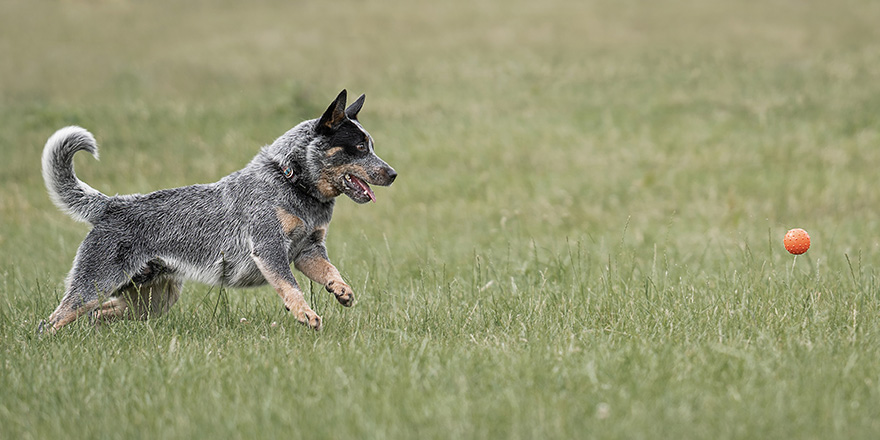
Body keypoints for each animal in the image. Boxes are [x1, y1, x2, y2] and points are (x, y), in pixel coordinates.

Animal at [39, 91, 398, 332]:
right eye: (360, 147)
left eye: (372, 146)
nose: (393, 174)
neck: (293, 181)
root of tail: (111, 204)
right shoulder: (269, 248)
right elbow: (290, 285)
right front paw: (305, 314)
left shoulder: (309, 250)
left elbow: (329, 270)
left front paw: (342, 290)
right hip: (95, 284)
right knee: (53, 320)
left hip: (155, 299)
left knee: (98, 314)